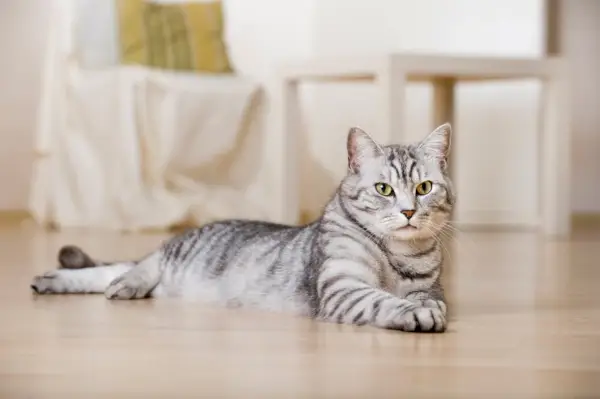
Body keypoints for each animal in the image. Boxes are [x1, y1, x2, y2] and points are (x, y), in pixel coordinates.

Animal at [29, 124, 454, 334]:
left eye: (424, 188)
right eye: (384, 189)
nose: (408, 211)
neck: (397, 254)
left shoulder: (430, 285)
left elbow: (427, 297)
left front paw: (427, 308)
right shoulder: (344, 287)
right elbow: (384, 300)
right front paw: (416, 314)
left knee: (110, 271)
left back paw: (50, 280)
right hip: (175, 254)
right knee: (140, 264)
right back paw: (120, 284)